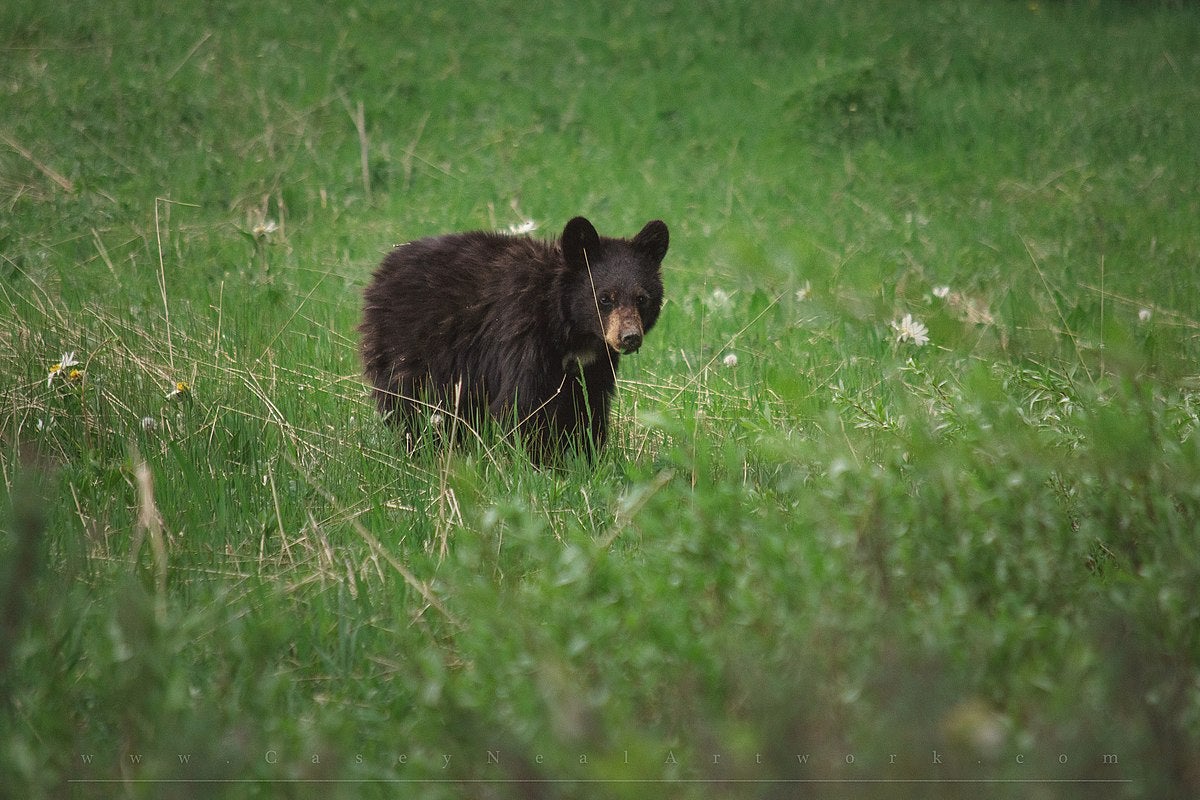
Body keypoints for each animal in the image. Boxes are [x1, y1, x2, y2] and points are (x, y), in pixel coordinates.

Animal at [360, 215, 672, 462]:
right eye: (605, 298)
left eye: (641, 298)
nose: (629, 337)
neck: (570, 329)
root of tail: (380, 271)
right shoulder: (520, 334)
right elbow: (521, 404)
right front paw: (538, 465)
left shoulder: (596, 363)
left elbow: (588, 406)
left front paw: (586, 459)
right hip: (408, 346)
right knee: (409, 405)